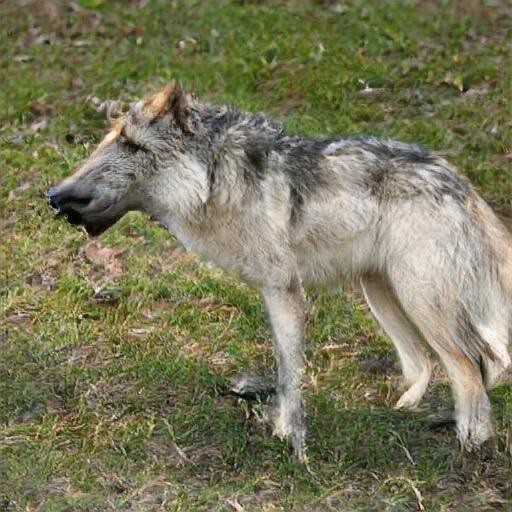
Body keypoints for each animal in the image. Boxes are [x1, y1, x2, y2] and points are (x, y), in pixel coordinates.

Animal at [48, 81, 512, 460]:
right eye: (109, 140)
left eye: (132, 146)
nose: (54, 195)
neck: (216, 180)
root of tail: (460, 181)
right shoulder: (276, 292)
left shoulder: (282, 289)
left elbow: (290, 375)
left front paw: (293, 443)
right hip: (383, 296)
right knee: (433, 365)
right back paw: (403, 415)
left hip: (420, 303)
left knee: (473, 366)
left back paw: (470, 444)